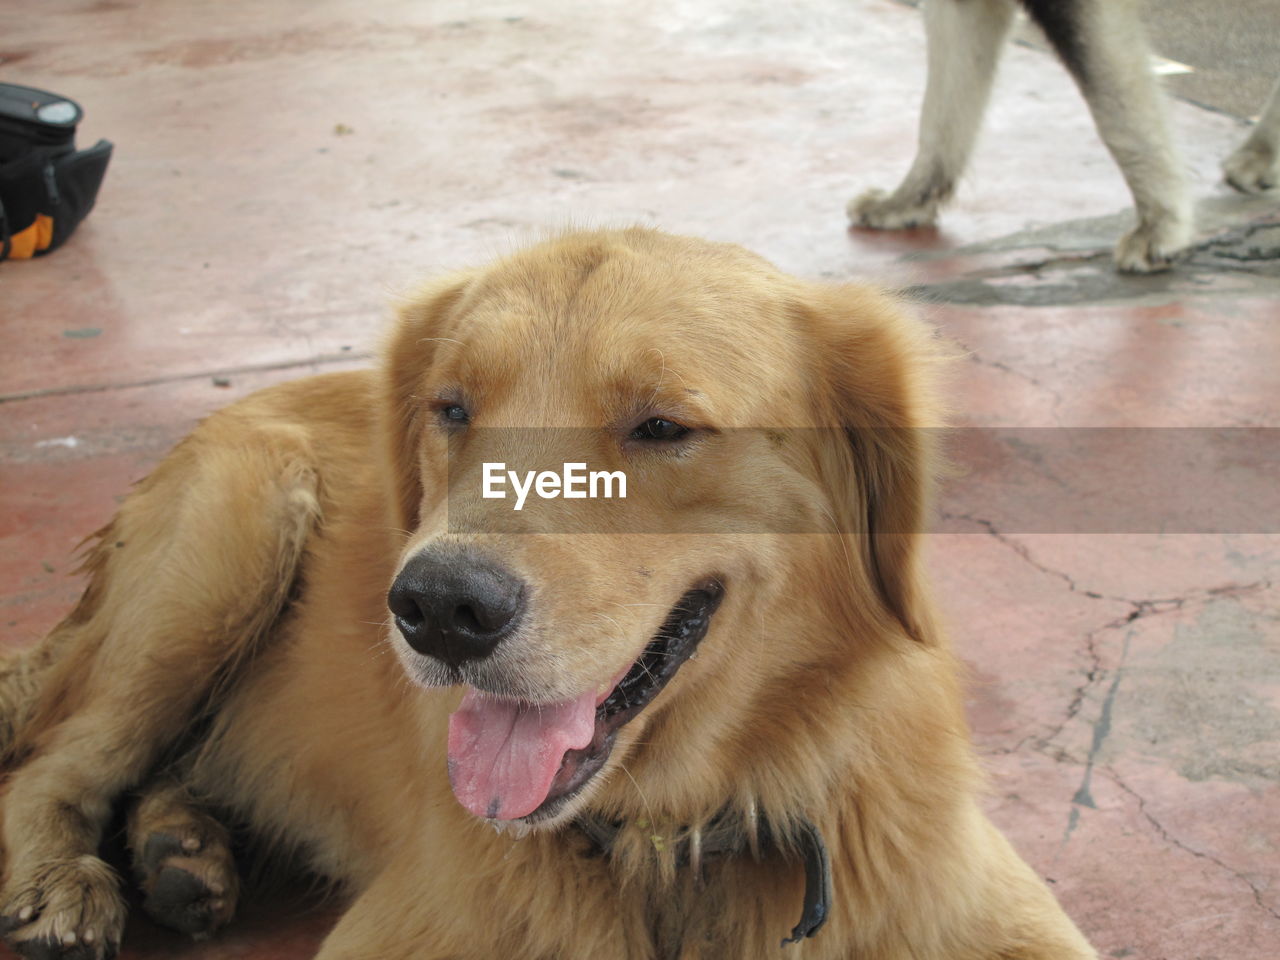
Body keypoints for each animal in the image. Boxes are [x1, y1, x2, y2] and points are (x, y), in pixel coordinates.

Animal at [2, 229, 1100, 957]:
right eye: (452, 409)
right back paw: (65, 879)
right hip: (228, 540)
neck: (673, 844)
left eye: (660, 425)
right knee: (53, 764)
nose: (439, 609)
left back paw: (179, 847)